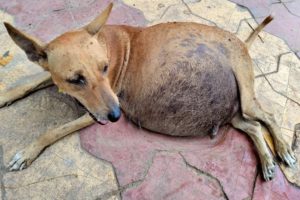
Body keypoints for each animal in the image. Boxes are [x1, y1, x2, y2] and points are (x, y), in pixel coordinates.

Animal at [2, 2, 296, 181]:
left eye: (105, 67)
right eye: (75, 79)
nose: (117, 115)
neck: (106, 43)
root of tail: (242, 42)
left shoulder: (92, 114)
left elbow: (52, 130)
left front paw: (26, 153)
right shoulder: (59, 80)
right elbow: (26, 84)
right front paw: (6, 96)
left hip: (246, 97)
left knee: (267, 116)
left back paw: (283, 150)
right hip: (233, 111)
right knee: (252, 126)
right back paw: (267, 162)